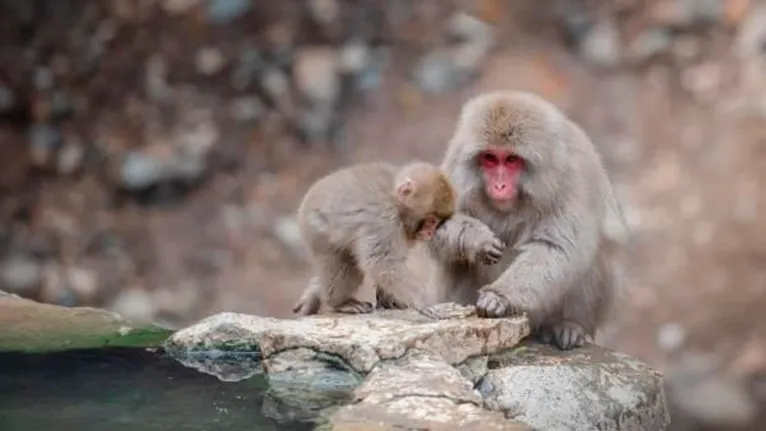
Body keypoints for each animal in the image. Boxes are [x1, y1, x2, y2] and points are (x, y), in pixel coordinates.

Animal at [292, 162, 456, 318]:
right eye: (430, 221)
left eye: (437, 223)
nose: (429, 233)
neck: (396, 202)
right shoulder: (383, 220)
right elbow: (381, 262)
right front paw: (424, 302)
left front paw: (389, 298)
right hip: (316, 231)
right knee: (345, 267)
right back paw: (340, 302)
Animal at [424, 91, 628, 352]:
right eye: (490, 158)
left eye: (512, 159)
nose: (499, 186)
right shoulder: (455, 165)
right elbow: (433, 225)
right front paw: (477, 240)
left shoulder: (570, 180)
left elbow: (557, 247)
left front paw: (499, 297)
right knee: (455, 260)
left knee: (596, 255)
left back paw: (567, 325)